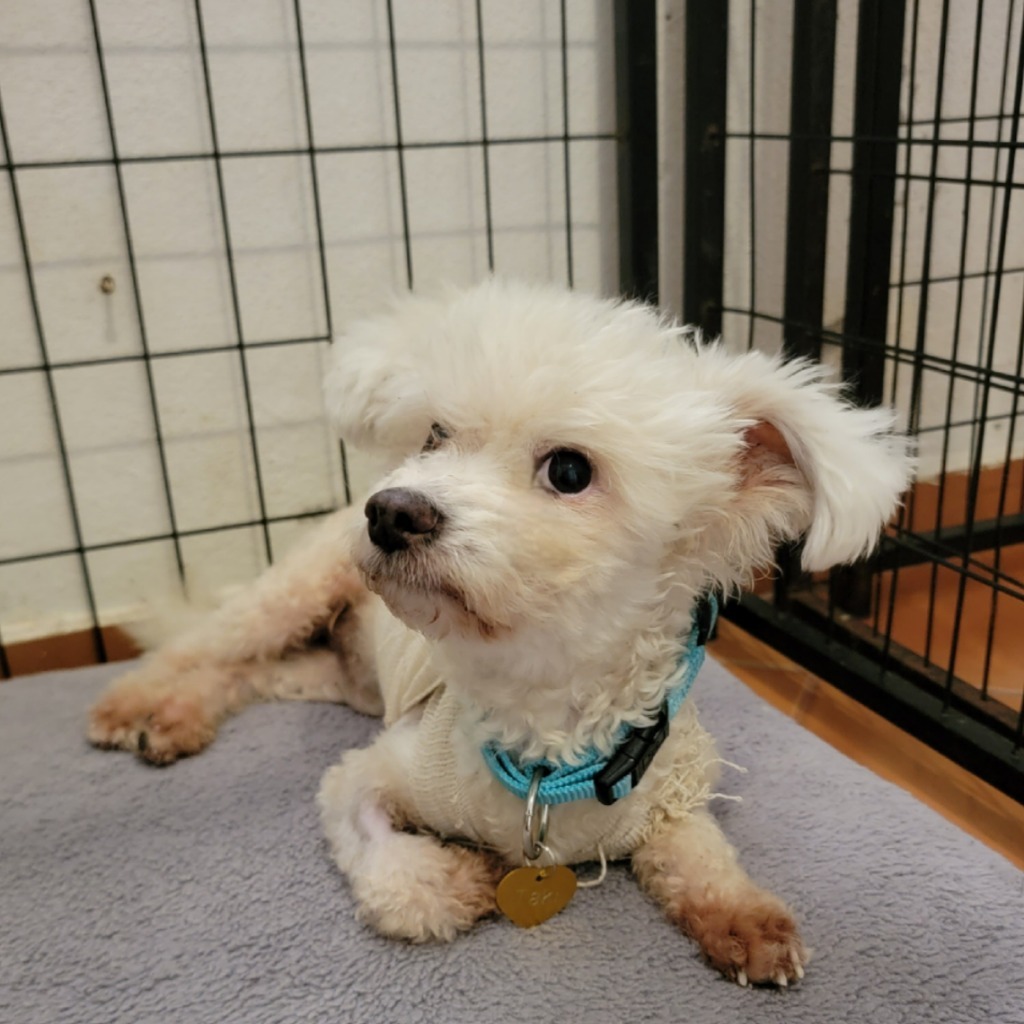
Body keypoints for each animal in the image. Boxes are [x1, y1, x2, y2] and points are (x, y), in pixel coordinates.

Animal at [90, 278, 913, 983]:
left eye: (570, 471)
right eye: (434, 434)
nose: (391, 511)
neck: (546, 738)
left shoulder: (670, 789)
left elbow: (702, 855)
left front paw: (745, 920)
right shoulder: (376, 770)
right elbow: (388, 860)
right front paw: (462, 876)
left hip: (340, 679)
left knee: (255, 676)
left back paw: (176, 720)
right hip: (297, 591)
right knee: (201, 649)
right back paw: (137, 708)